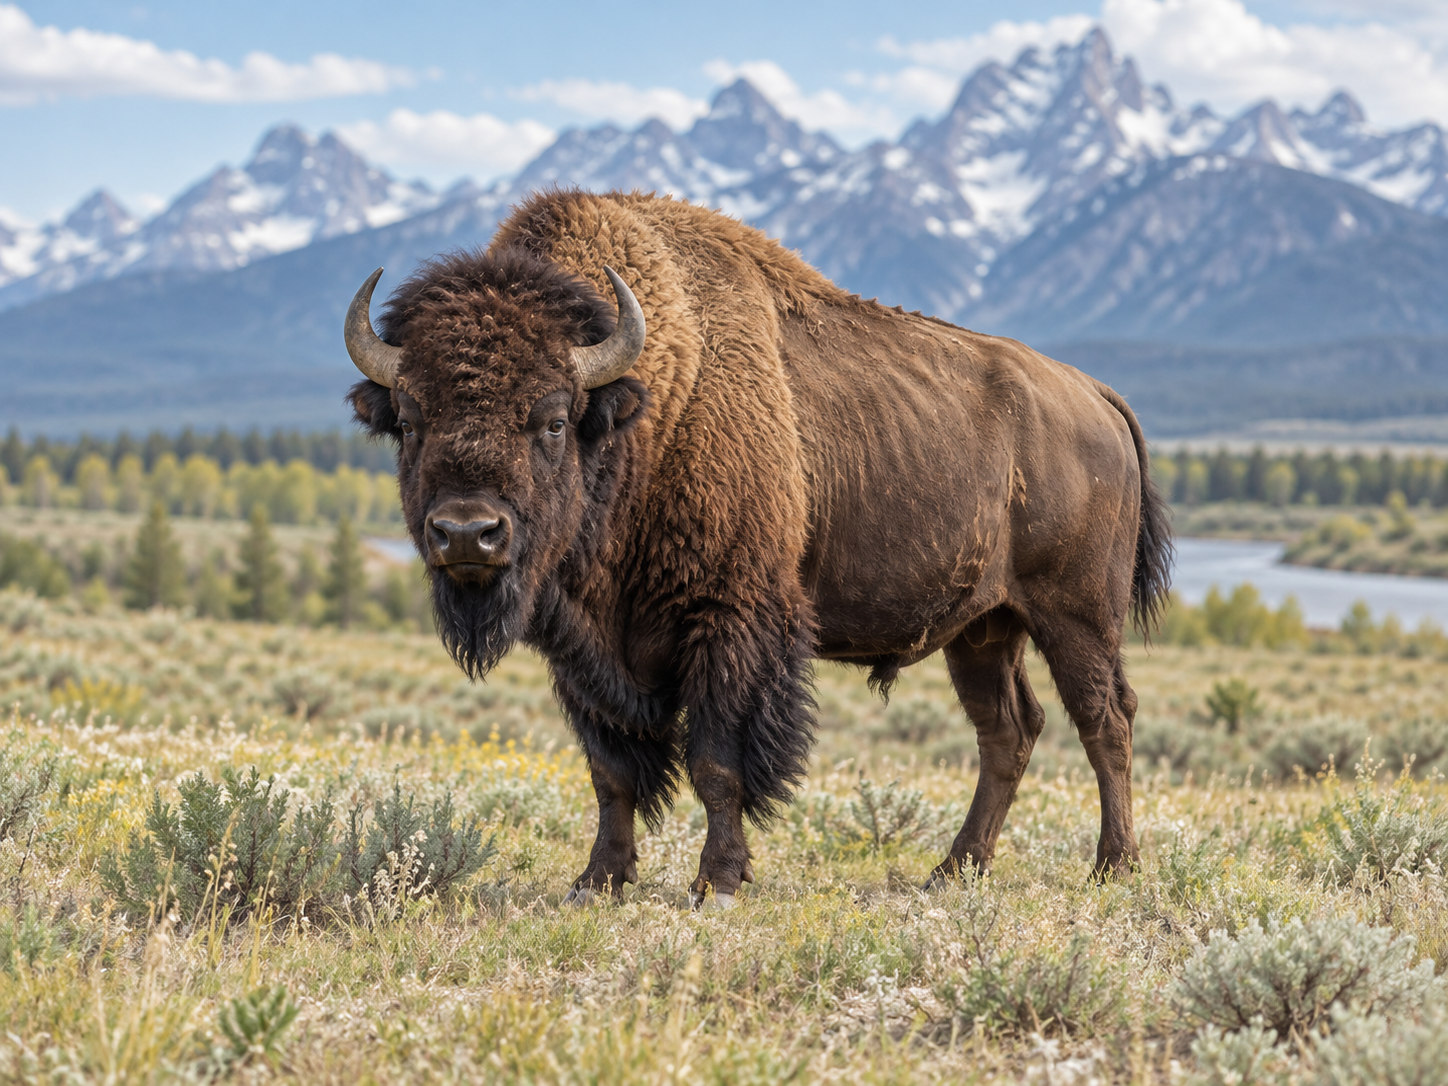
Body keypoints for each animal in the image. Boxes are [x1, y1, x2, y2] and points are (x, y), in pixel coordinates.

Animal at [344, 190, 1172, 907]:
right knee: (1007, 731)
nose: (466, 533)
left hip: (1075, 616)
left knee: (1106, 721)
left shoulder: (729, 624)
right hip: (983, 629)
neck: (649, 407)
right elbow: (611, 773)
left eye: (551, 418)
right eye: (409, 421)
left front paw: (717, 882)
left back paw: (1112, 867)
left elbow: (717, 763)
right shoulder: (582, 653)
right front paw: (597, 881)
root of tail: (1094, 395)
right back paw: (953, 869)